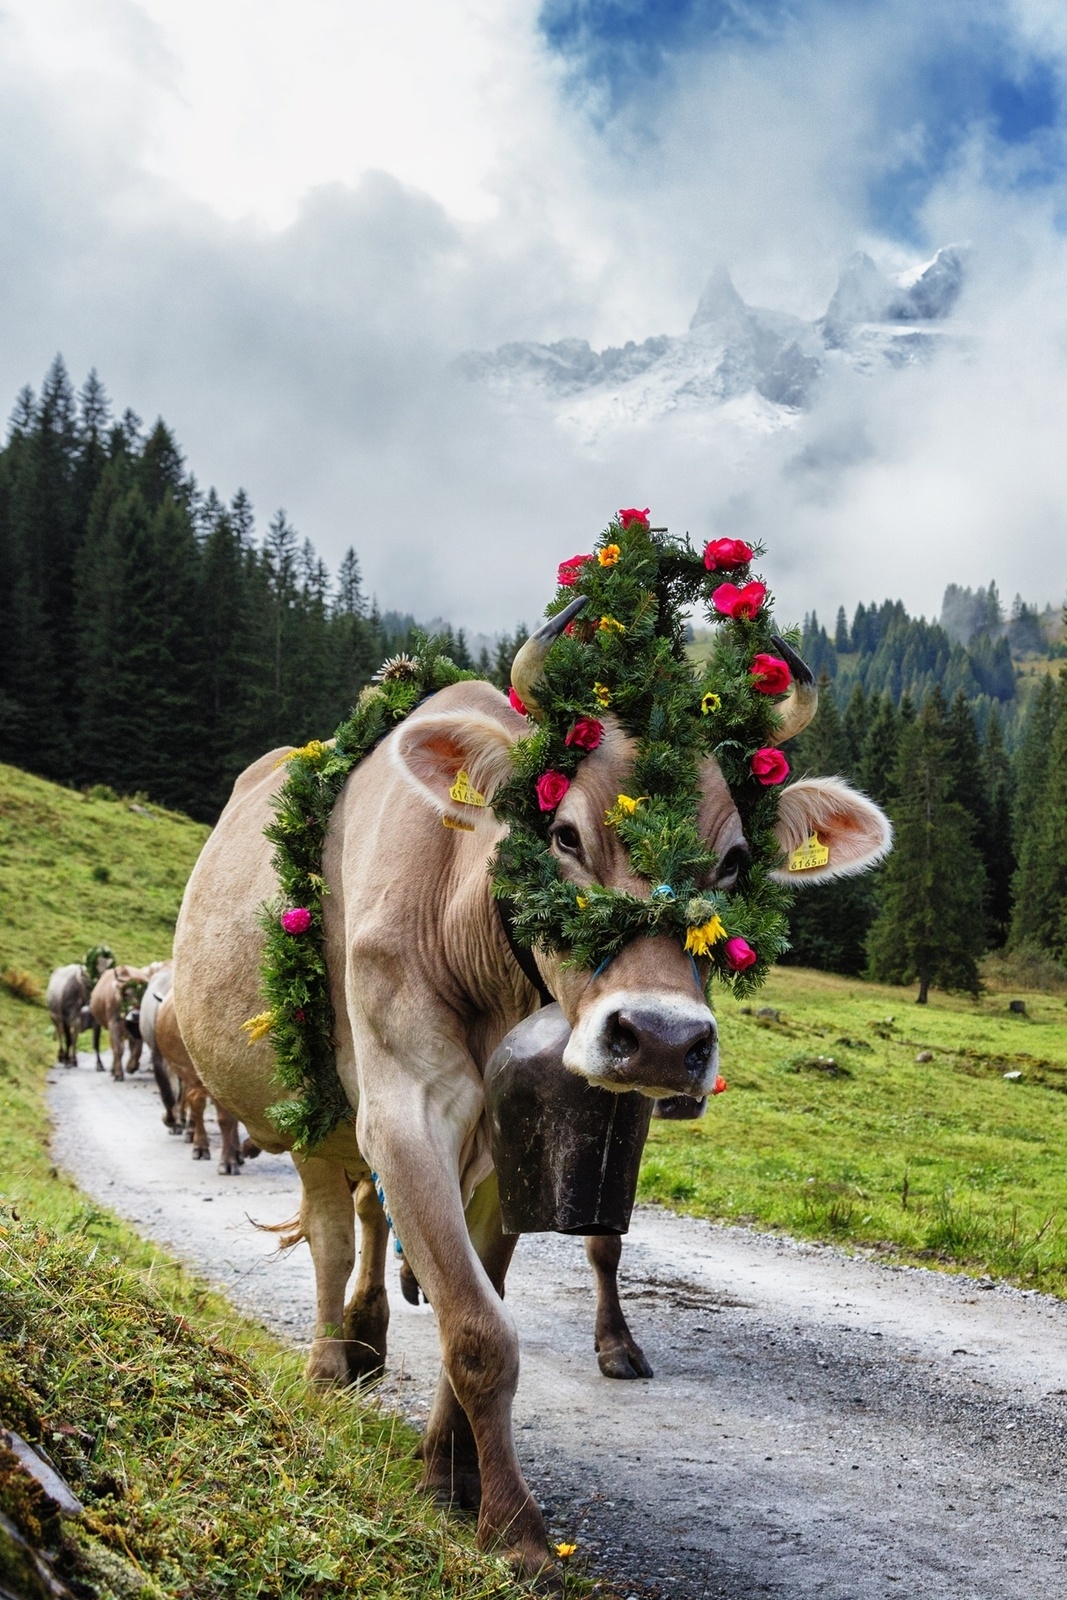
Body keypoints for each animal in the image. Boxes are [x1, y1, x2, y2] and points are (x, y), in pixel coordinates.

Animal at [172, 616, 891, 1576]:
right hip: (308, 1104)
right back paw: (329, 1364)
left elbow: (475, 1299)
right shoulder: (403, 1107)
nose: (663, 1039)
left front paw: (447, 1476)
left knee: (367, 1219)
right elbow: (479, 1330)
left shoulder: (505, 1146)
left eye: (736, 861)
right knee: (331, 1226)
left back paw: (367, 1340)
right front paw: (515, 1531)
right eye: (563, 835)